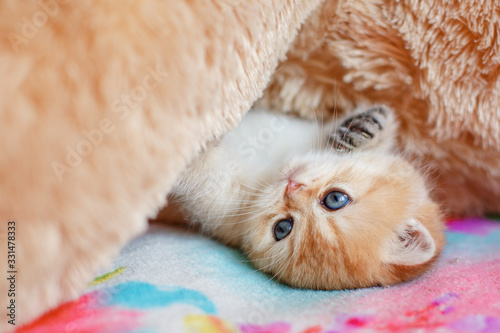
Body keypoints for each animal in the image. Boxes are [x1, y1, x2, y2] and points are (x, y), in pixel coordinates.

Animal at [172, 106, 446, 288]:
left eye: (282, 228)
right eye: (336, 198)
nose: (291, 187)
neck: (271, 168)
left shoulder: (223, 199)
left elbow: (205, 171)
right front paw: (365, 127)